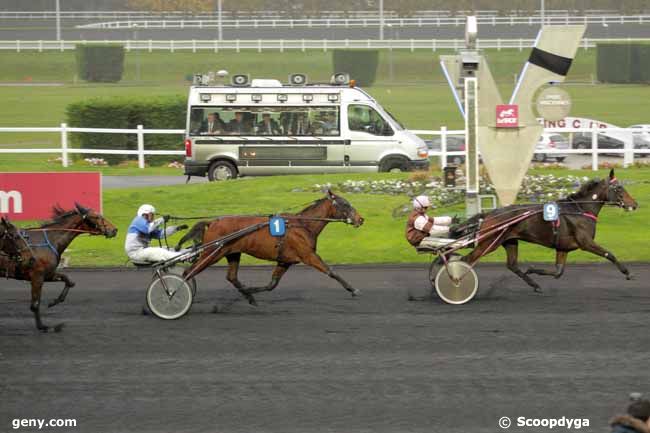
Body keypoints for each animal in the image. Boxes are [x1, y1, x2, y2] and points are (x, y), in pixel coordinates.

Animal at [0, 204, 116, 332]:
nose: (114, 230)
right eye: (96, 217)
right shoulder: (37, 276)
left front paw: (54, 302)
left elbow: (68, 280)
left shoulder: (47, 274)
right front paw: (44, 327)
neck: (50, 241)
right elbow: (35, 304)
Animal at [182, 191, 364, 306]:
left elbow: (272, 284)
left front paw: (251, 291)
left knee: (231, 277)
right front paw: (353, 289)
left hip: (232, 253)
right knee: (188, 272)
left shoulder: (285, 261)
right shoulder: (308, 255)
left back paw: (249, 296)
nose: (361, 219)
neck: (303, 225)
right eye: (345, 204)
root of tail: (212, 222)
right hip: (212, 253)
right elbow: (330, 271)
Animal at [458, 170, 636, 290]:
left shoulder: (563, 247)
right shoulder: (586, 242)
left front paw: (532, 269)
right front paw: (627, 272)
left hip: (510, 241)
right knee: (466, 260)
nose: (634, 204)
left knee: (512, 265)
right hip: (488, 242)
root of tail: (489, 214)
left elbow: (558, 272)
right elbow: (609, 254)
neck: (580, 209)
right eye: (619, 188)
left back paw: (534, 284)